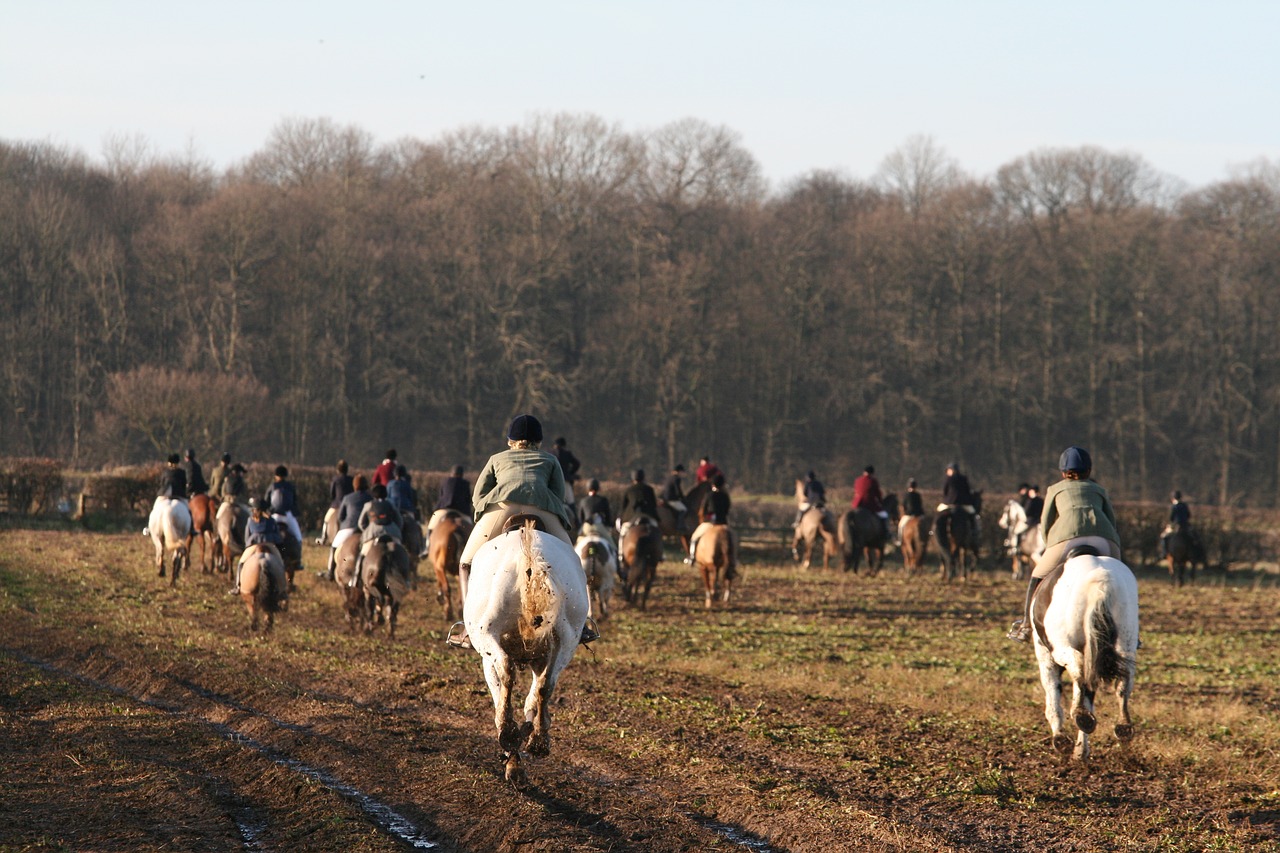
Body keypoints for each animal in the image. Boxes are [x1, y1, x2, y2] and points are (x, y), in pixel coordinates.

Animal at [1029, 548, 1141, 758]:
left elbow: (1053, 700)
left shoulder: (1046, 659)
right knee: (1123, 679)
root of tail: (1102, 579)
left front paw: (1062, 740)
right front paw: (1081, 751)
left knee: (1077, 665)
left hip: (1061, 648)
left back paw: (1080, 717)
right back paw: (1122, 727)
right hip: (1125, 644)